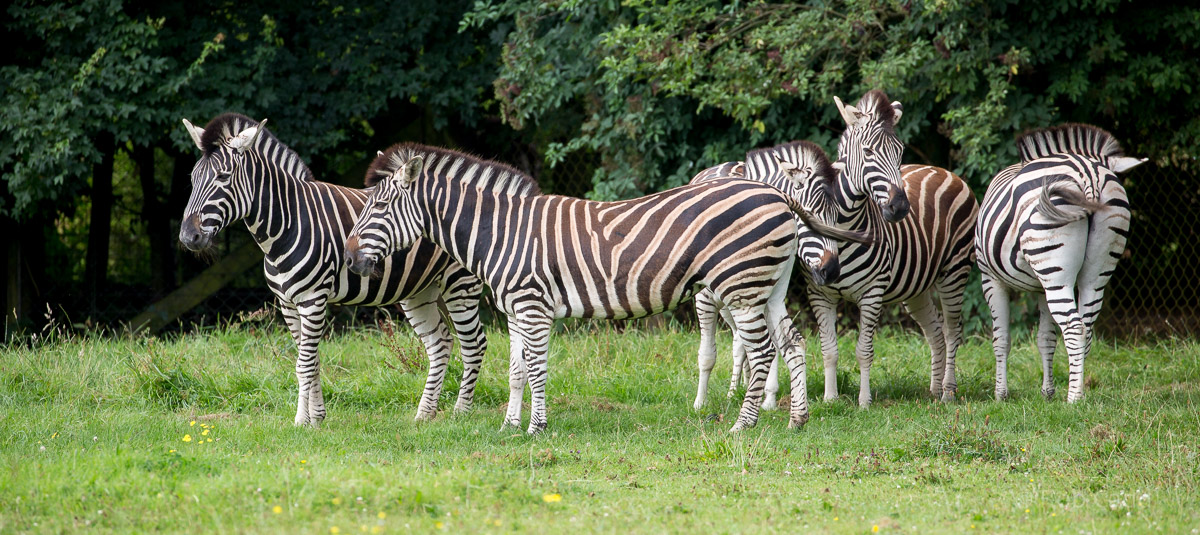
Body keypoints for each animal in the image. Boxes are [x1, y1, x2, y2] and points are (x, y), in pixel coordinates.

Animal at [177, 113, 487, 427]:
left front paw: (302, 422)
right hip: (419, 290)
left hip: (460, 284)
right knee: (440, 343)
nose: (188, 237)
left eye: (223, 177)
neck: (286, 225)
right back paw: (424, 414)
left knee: (474, 343)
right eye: (192, 178)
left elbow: (303, 364)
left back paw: (462, 412)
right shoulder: (288, 304)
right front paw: (317, 417)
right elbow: (310, 361)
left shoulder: (313, 300)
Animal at [345, 143, 813, 434]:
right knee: (792, 342)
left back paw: (742, 426)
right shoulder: (514, 311)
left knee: (763, 351)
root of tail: (774, 192)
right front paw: (509, 426)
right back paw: (798, 419)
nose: (349, 259)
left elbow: (536, 369)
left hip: (741, 286)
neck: (502, 231)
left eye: (379, 206)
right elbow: (516, 371)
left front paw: (536, 428)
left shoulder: (532, 306)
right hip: (770, 286)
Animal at [690, 141, 874, 411]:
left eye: (836, 219)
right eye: (809, 217)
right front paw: (700, 404)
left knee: (742, 343)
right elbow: (707, 355)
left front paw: (768, 399)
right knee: (737, 343)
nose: (832, 271)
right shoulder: (703, 301)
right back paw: (734, 391)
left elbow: (774, 346)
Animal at [803, 90, 980, 408]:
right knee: (935, 332)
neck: (843, 230)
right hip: (917, 285)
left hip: (954, 271)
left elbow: (863, 350)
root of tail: (944, 170)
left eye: (899, 152)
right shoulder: (819, 293)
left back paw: (947, 391)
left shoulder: (872, 292)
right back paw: (933, 390)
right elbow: (829, 349)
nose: (899, 208)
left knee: (952, 332)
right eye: (868, 152)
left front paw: (864, 402)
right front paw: (830, 399)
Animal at [976, 123, 1144, 402]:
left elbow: (1001, 339)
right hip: (1094, 270)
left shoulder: (991, 278)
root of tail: (1089, 173)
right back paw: (1079, 388)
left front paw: (1001, 394)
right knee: (1086, 326)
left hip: (1054, 270)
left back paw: (1074, 398)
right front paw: (1047, 392)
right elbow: (1046, 338)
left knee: (1074, 328)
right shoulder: (1041, 287)